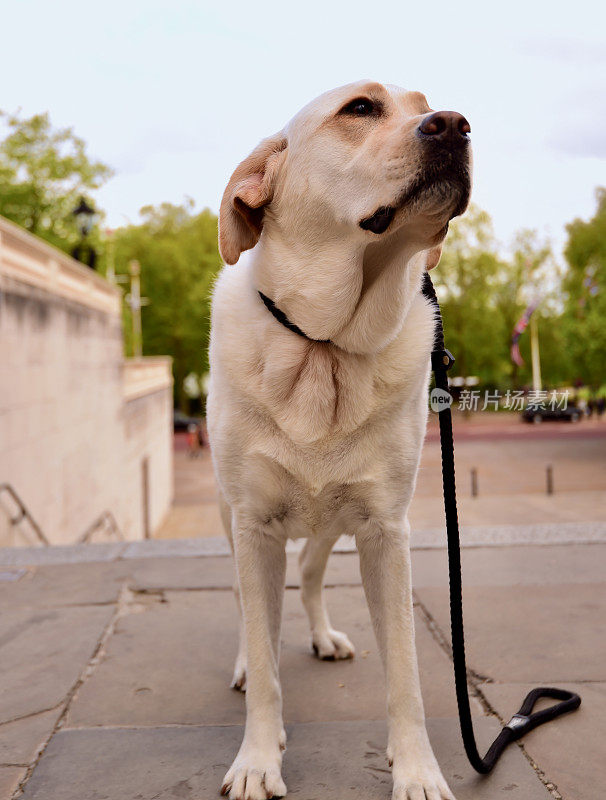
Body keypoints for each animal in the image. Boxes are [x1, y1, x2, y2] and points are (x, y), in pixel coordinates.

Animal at [207, 83, 472, 800]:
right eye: (360, 109)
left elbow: (406, 674)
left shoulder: (385, 530)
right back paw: (243, 661)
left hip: (333, 521)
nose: (455, 124)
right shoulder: (254, 523)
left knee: (309, 573)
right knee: (247, 607)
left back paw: (323, 636)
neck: (324, 346)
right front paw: (257, 759)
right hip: (231, 518)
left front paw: (417, 771)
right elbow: (265, 661)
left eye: (427, 102)